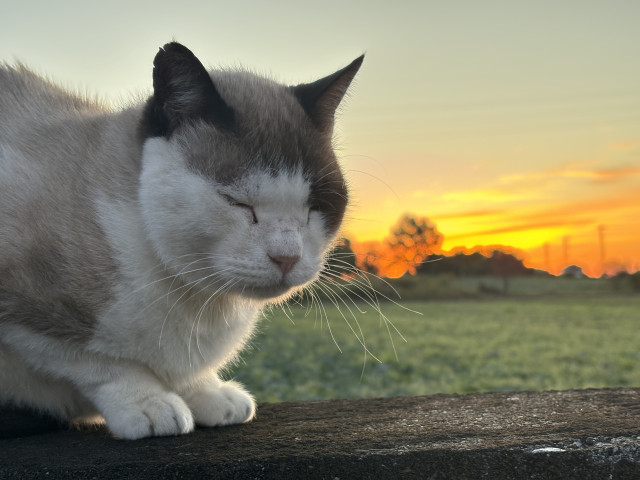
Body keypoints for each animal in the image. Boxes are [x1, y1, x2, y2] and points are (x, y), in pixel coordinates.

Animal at [0, 41, 362, 438]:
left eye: (314, 207)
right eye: (237, 202)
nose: (288, 257)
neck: (199, 299)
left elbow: (184, 377)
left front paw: (208, 394)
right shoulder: (28, 313)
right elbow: (98, 361)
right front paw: (150, 403)